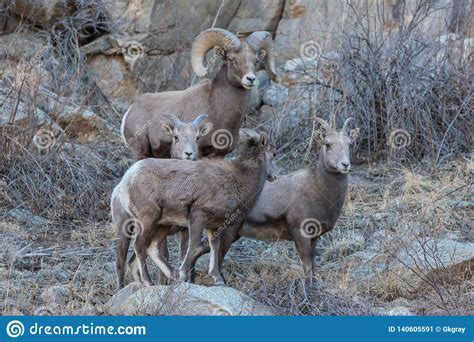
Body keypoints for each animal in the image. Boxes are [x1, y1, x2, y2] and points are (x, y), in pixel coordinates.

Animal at [109, 131, 268, 288]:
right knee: (137, 248)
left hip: (161, 226)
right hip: (144, 221)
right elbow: (193, 247)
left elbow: (214, 247)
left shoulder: (213, 226)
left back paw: (169, 275)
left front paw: (217, 279)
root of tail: (126, 179)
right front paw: (183, 275)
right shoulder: (197, 217)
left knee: (151, 249)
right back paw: (149, 281)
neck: (238, 181)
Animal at [120, 27, 280, 159]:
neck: (219, 110)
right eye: (231, 59)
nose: (250, 79)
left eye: (256, 60)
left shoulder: (219, 155)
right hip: (140, 151)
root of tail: (131, 110)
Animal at [206, 117, 360, 286]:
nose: (345, 165)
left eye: (349, 144)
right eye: (328, 144)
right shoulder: (301, 234)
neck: (318, 188)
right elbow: (307, 267)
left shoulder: (314, 238)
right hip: (229, 232)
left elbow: (313, 267)